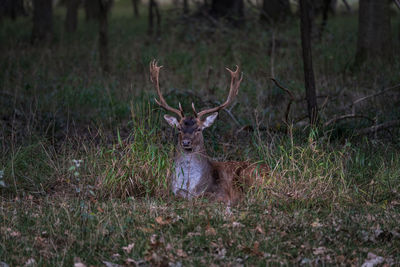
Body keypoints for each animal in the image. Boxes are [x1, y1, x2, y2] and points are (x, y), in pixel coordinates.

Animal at [150, 59, 268, 204]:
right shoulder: (173, 190)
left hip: (250, 174)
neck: (190, 185)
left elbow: (203, 197)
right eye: (179, 128)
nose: (186, 142)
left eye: (199, 129)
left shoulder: (221, 193)